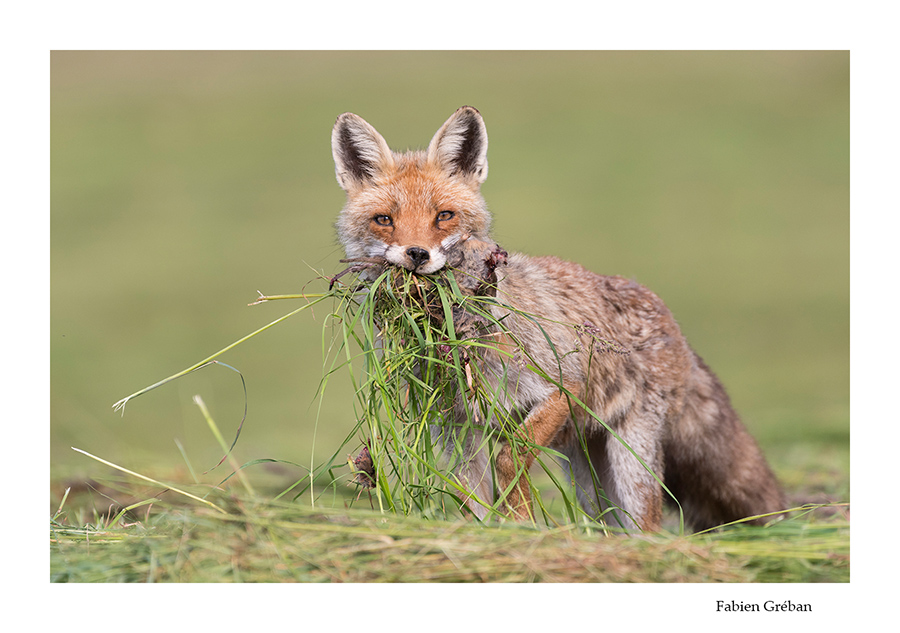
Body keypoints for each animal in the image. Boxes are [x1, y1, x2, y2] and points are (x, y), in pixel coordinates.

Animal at [328, 106, 780, 532]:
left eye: (444, 216)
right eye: (384, 220)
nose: (417, 255)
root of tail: (671, 321)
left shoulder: (561, 388)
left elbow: (511, 459)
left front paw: (522, 520)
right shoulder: (455, 428)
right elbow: (472, 502)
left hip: (630, 465)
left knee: (649, 528)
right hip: (586, 476)